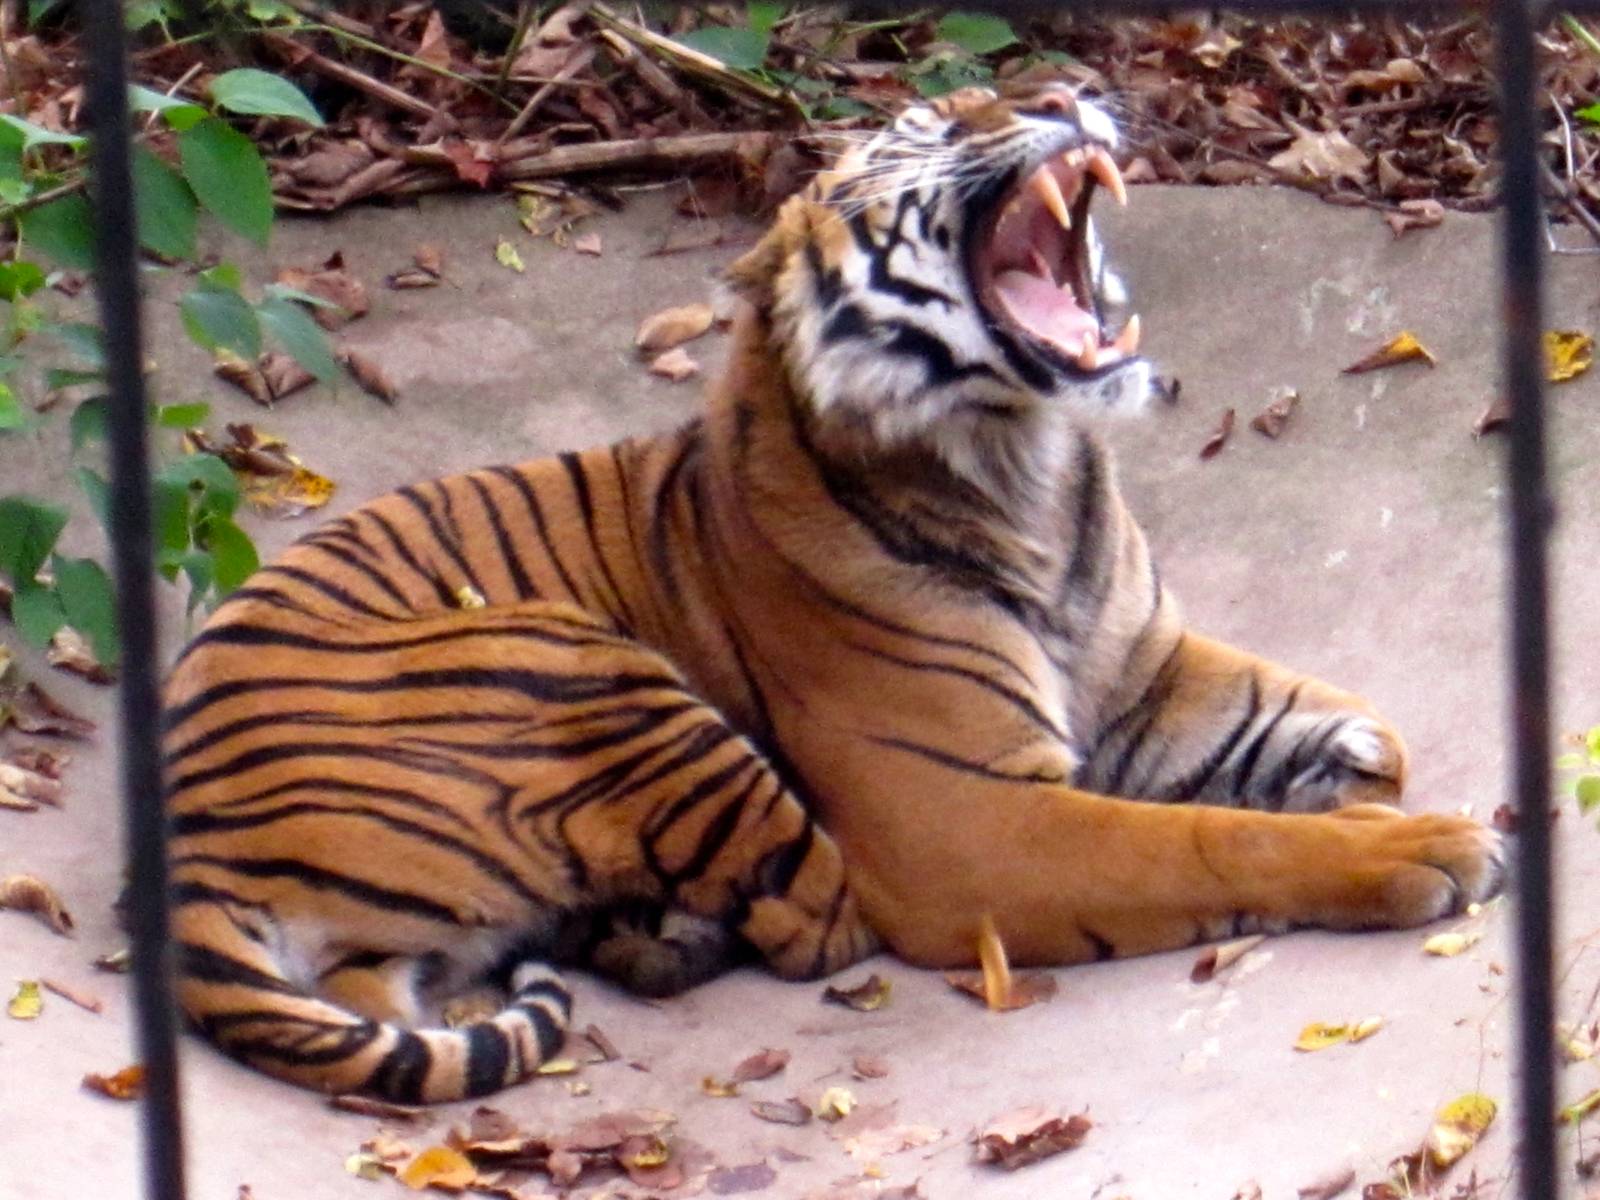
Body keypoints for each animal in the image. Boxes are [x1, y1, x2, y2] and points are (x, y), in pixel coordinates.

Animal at [162, 82, 1504, 1104]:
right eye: (928, 125)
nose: (1066, 92)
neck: (1026, 466)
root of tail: (184, 845)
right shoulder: (963, 820)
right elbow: (1207, 837)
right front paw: (1423, 847)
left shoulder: (1140, 676)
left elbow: (1357, 732)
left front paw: (1351, 782)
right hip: (591, 671)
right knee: (817, 921)